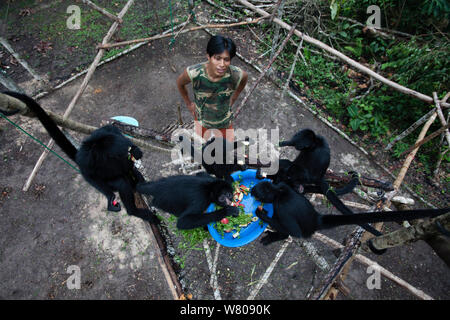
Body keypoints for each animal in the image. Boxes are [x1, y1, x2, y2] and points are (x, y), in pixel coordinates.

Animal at [2, 91, 156, 224]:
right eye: (114, 155)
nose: (126, 155)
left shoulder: (108, 135)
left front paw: (135, 153)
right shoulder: (90, 159)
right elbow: (89, 174)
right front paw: (110, 197)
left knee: (130, 174)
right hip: (105, 178)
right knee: (120, 182)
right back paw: (133, 210)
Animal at [251, 181, 448, 246]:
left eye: (257, 193)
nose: (252, 191)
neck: (279, 192)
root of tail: (317, 218)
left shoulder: (282, 206)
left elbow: (294, 231)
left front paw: (261, 214)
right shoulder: (284, 185)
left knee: (290, 231)